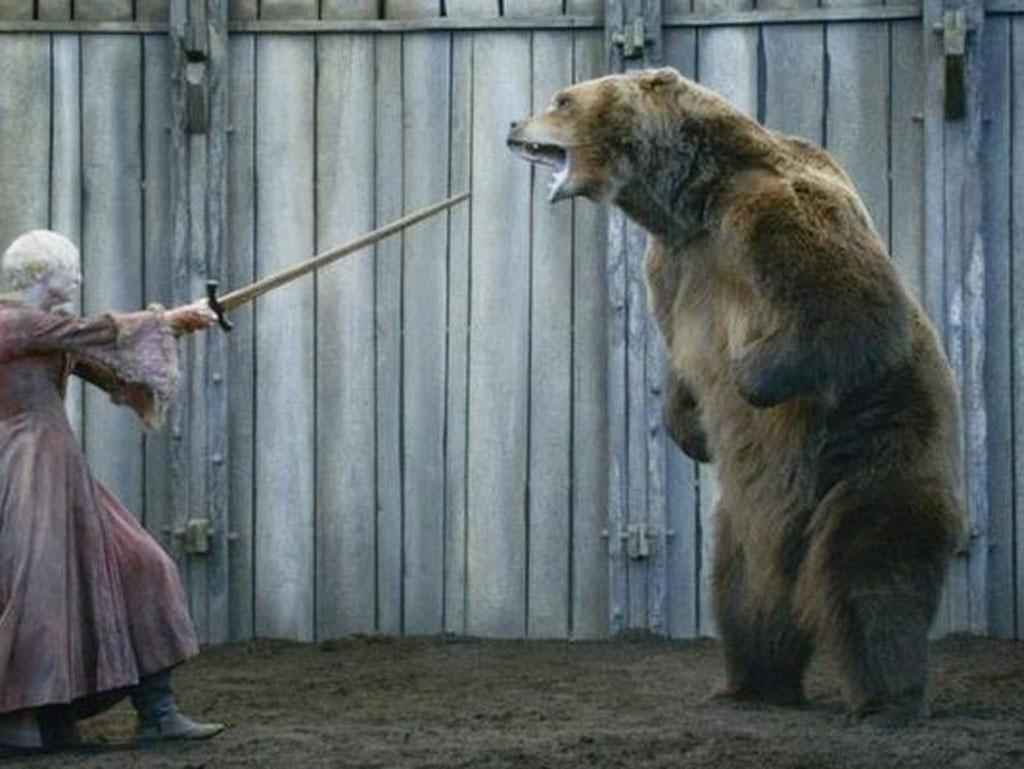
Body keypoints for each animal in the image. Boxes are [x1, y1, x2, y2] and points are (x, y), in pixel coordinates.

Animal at [507, 67, 965, 725]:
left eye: (562, 99)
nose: (514, 123)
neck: (689, 202)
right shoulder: (675, 267)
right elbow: (679, 359)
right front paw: (688, 427)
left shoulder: (772, 215)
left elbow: (857, 304)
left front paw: (749, 375)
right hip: (746, 517)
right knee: (743, 594)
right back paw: (752, 681)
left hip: (875, 448)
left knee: (871, 567)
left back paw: (885, 698)